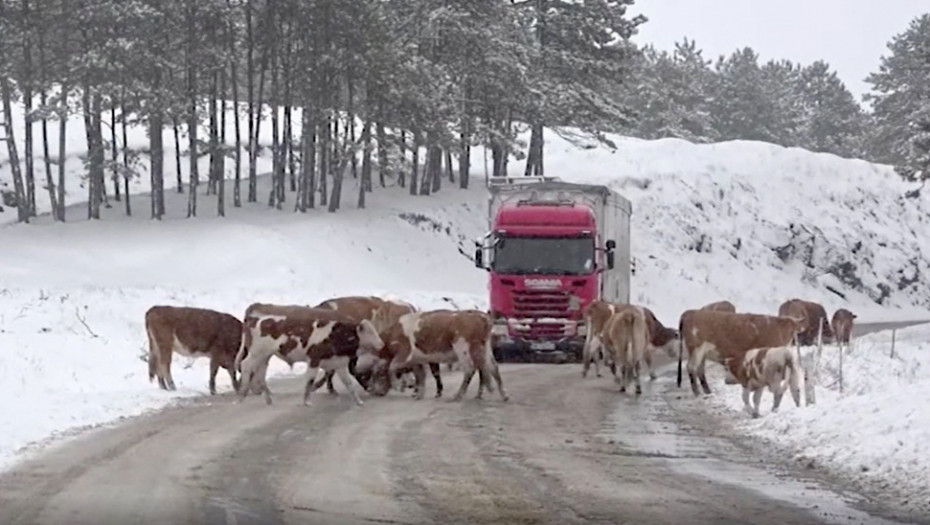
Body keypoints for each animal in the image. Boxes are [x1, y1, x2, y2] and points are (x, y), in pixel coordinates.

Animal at [239, 302, 388, 406]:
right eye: (369, 332)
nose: (381, 344)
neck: (335, 334)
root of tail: (255, 320)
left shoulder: (339, 364)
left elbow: (348, 383)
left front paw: (358, 402)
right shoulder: (314, 360)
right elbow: (310, 381)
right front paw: (307, 402)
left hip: (265, 356)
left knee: (260, 373)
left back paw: (268, 398)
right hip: (256, 354)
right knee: (246, 366)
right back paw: (242, 395)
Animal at [368, 312, 508, 402]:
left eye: (378, 375)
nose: (376, 392)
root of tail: (481, 317)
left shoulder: (404, 353)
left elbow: (391, 367)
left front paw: (397, 385)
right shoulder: (417, 360)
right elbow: (420, 376)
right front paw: (419, 395)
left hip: (462, 347)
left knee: (470, 369)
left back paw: (458, 395)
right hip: (485, 348)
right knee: (493, 367)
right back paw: (504, 395)